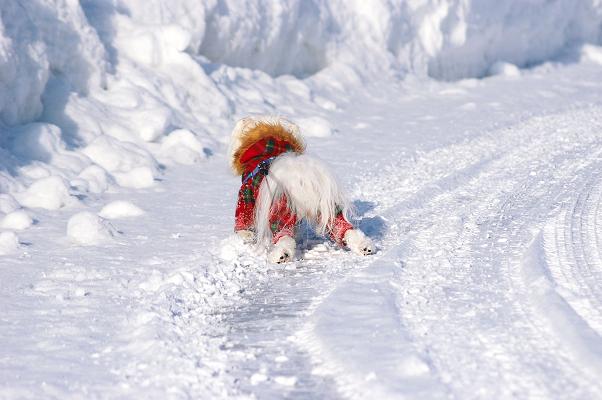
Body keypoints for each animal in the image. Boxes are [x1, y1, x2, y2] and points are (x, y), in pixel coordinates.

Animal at [229, 116, 374, 263]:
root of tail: (300, 180)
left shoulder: (245, 195)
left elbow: (243, 220)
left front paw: (245, 235)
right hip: (328, 208)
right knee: (344, 228)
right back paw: (364, 247)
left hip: (280, 211)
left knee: (284, 237)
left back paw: (281, 255)